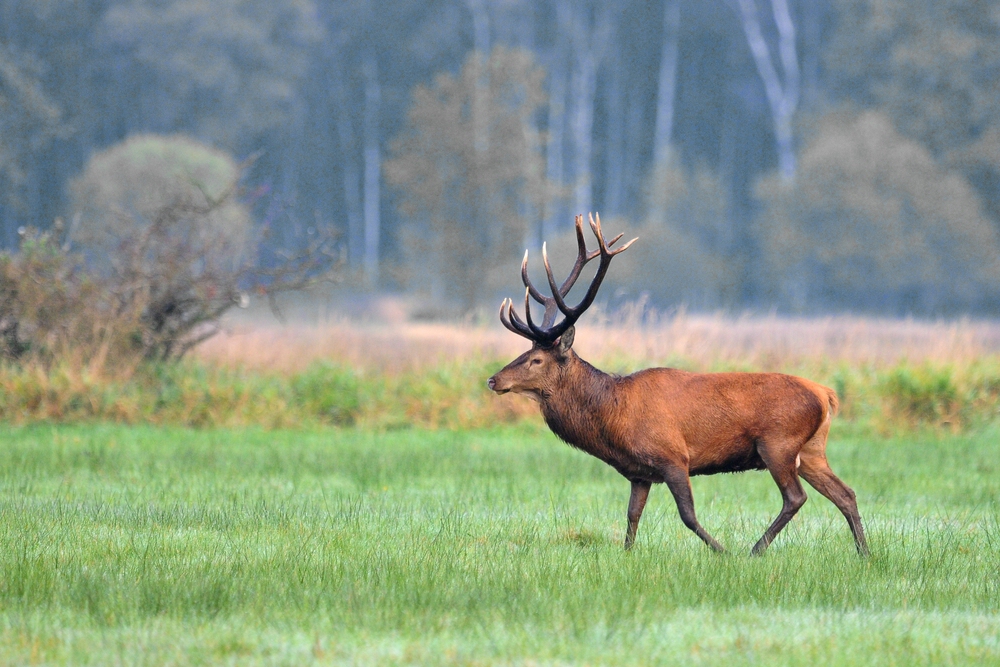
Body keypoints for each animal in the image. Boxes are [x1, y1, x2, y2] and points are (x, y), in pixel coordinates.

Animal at [486, 215, 868, 560]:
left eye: (537, 359)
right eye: (525, 352)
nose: (493, 379)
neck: (612, 417)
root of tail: (825, 394)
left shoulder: (673, 456)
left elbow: (687, 515)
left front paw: (722, 551)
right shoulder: (639, 473)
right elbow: (632, 516)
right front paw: (627, 555)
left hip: (778, 443)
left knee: (796, 497)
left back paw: (754, 551)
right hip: (812, 450)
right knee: (845, 493)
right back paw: (864, 553)